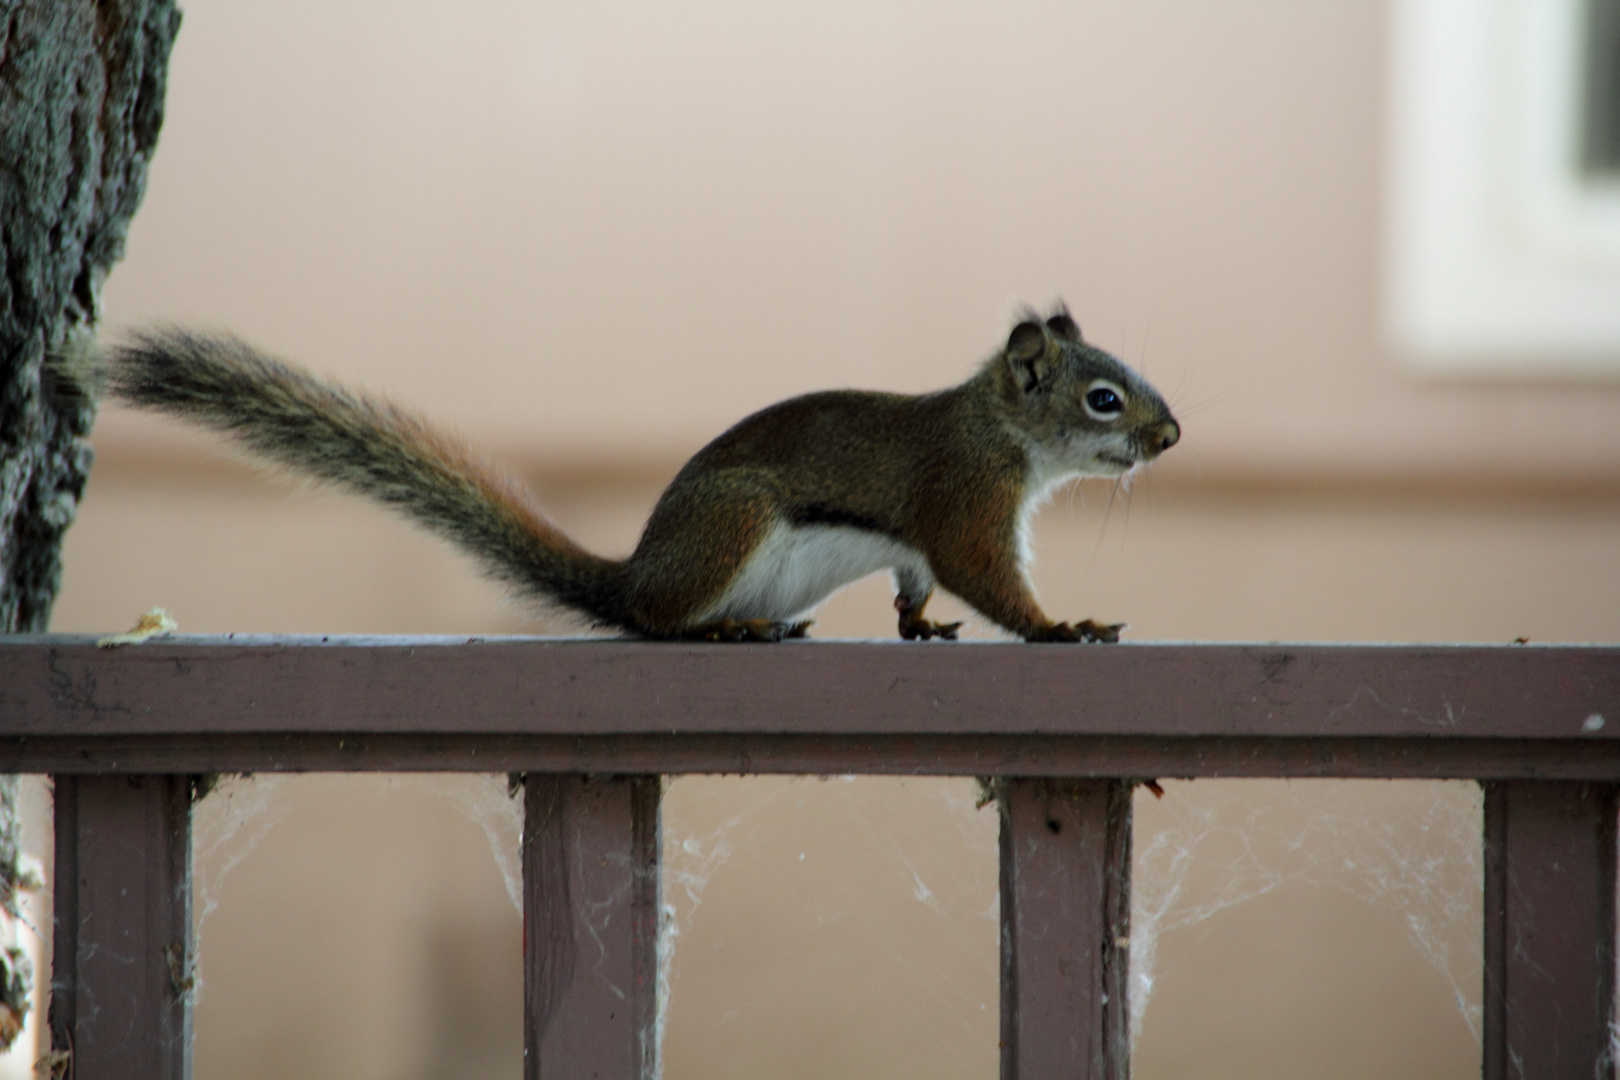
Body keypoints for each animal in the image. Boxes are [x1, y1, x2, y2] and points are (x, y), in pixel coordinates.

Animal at [76, 304, 1179, 641]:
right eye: (1103, 399)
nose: (1170, 436)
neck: (1000, 428)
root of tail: (635, 567)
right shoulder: (965, 501)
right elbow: (987, 579)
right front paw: (1064, 628)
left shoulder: (924, 538)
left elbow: (916, 584)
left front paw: (919, 626)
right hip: (731, 529)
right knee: (656, 620)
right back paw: (726, 626)